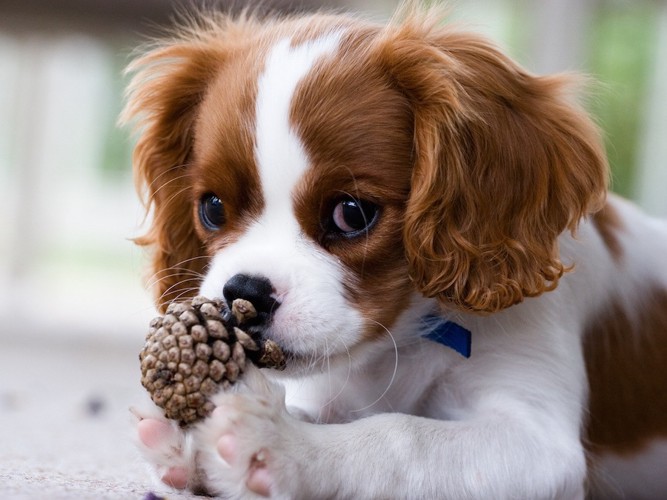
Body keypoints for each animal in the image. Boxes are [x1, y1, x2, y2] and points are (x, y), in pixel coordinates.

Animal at [124, 4, 667, 500]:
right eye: (212, 208)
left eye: (351, 213)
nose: (245, 294)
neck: (402, 344)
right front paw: (191, 438)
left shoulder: (538, 441)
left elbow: (402, 436)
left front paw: (283, 445)